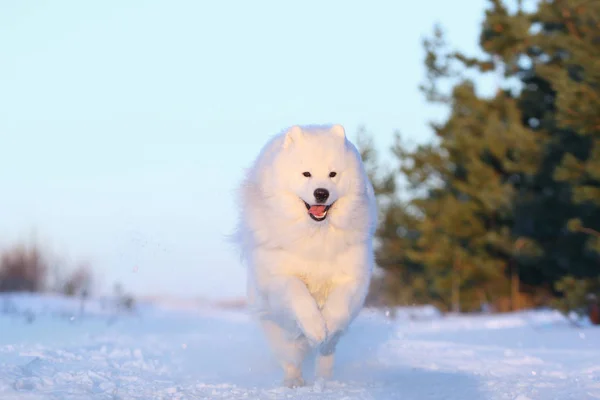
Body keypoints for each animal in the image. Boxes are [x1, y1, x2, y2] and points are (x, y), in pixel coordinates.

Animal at [233, 124, 376, 388]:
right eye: (306, 174)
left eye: (333, 174)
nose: (321, 193)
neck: (315, 234)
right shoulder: (280, 277)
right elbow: (299, 295)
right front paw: (316, 328)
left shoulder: (352, 277)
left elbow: (338, 306)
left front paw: (327, 326)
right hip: (275, 329)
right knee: (290, 358)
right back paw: (294, 382)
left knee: (327, 353)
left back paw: (324, 377)